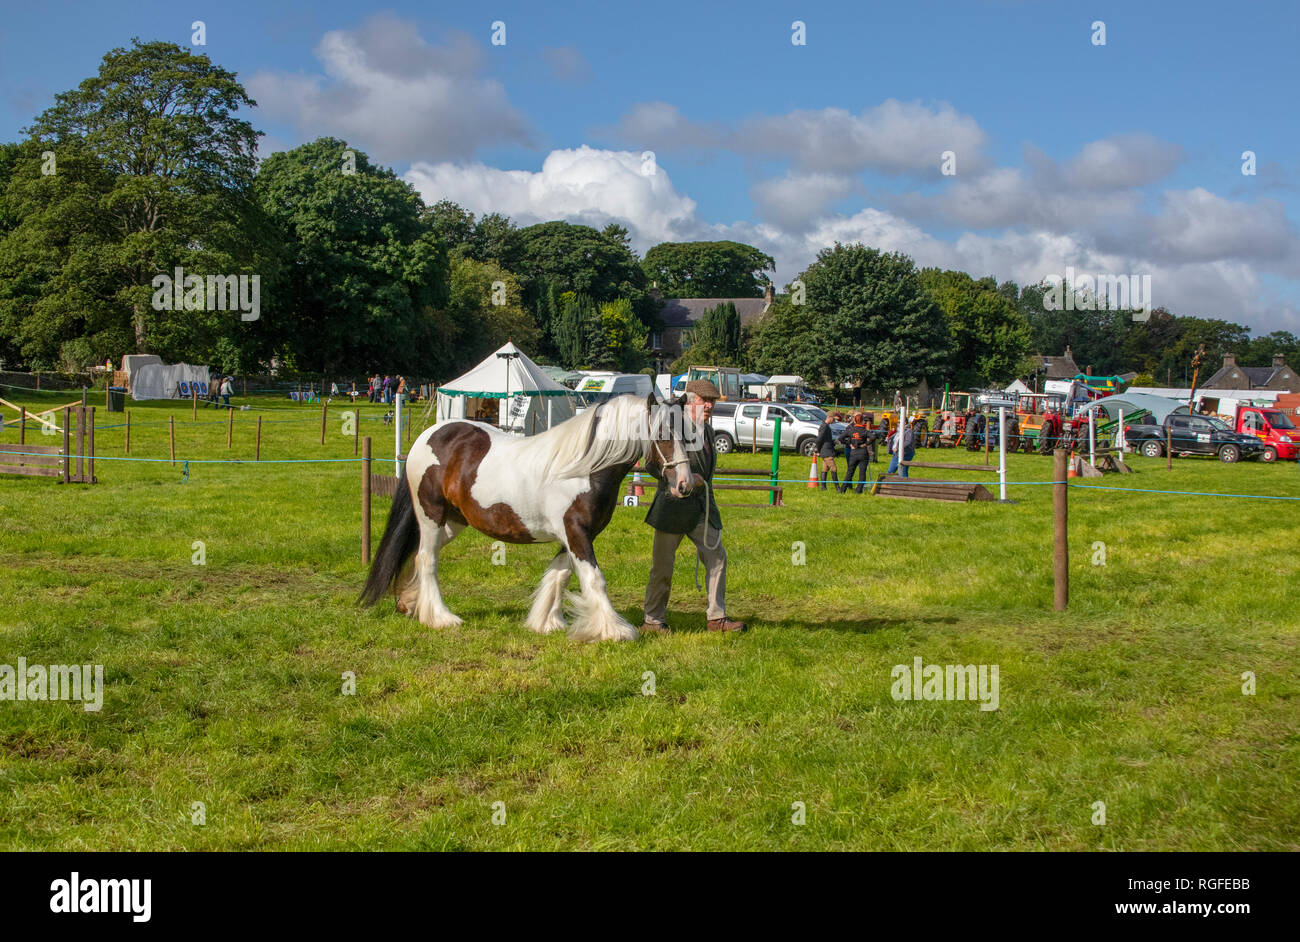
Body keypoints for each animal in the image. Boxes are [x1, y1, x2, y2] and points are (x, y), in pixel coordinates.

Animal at [361, 392, 696, 641]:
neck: (584, 469)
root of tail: (428, 435)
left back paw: (409, 602)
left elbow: (559, 575)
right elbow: (594, 579)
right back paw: (441, 617)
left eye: (688, 434)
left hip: (452, 522)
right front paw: (614, 630)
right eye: (662, 434)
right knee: (427, 560)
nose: (685, 485)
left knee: (417, 554)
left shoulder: (574, 536)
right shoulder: (576, 532)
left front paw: (546, 622)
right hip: (431, 515)